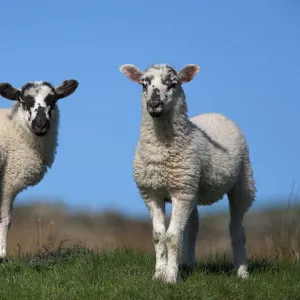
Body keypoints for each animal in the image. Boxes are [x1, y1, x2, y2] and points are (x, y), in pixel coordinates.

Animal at [0, 79, 78, 260]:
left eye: (53, 100)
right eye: (23, 102)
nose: (41, 125)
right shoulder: (8, 179)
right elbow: (5, 219)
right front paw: (2, 254)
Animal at [119, 63, 255, 284]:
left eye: (173, 84)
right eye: (143, 84)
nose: (154, 104)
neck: (162, 150)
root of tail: (215, 113)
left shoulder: (181, 192)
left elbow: (172, 236)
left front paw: (170, 277)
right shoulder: (152, 193)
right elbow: (159, 235)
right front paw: (159, 273)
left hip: (243, 182)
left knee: (237, 229)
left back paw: (242, 272)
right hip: (193, 189)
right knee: (192, 227)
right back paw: (189, 264)